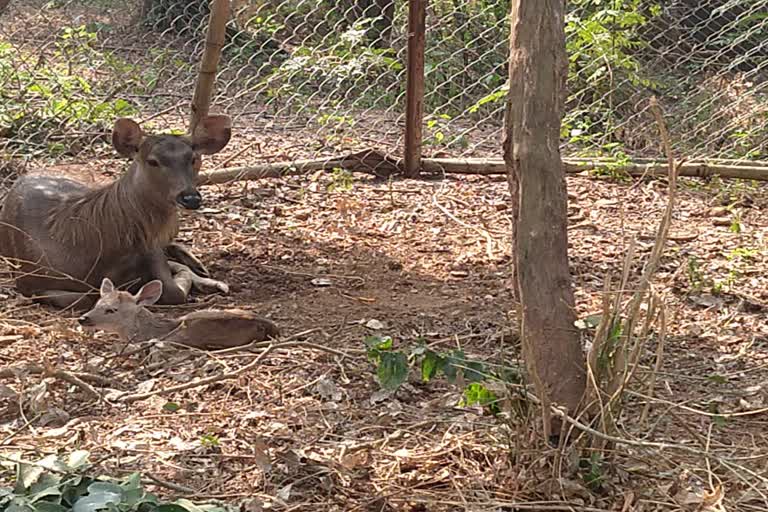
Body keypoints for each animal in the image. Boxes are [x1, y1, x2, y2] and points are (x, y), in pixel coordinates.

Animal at [0, 114, 231, 310]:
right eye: (153, 161)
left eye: (193, 158)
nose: (190, 197)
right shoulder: (28, 281)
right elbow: (86, 299)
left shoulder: (150, 248)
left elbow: (172, 289)